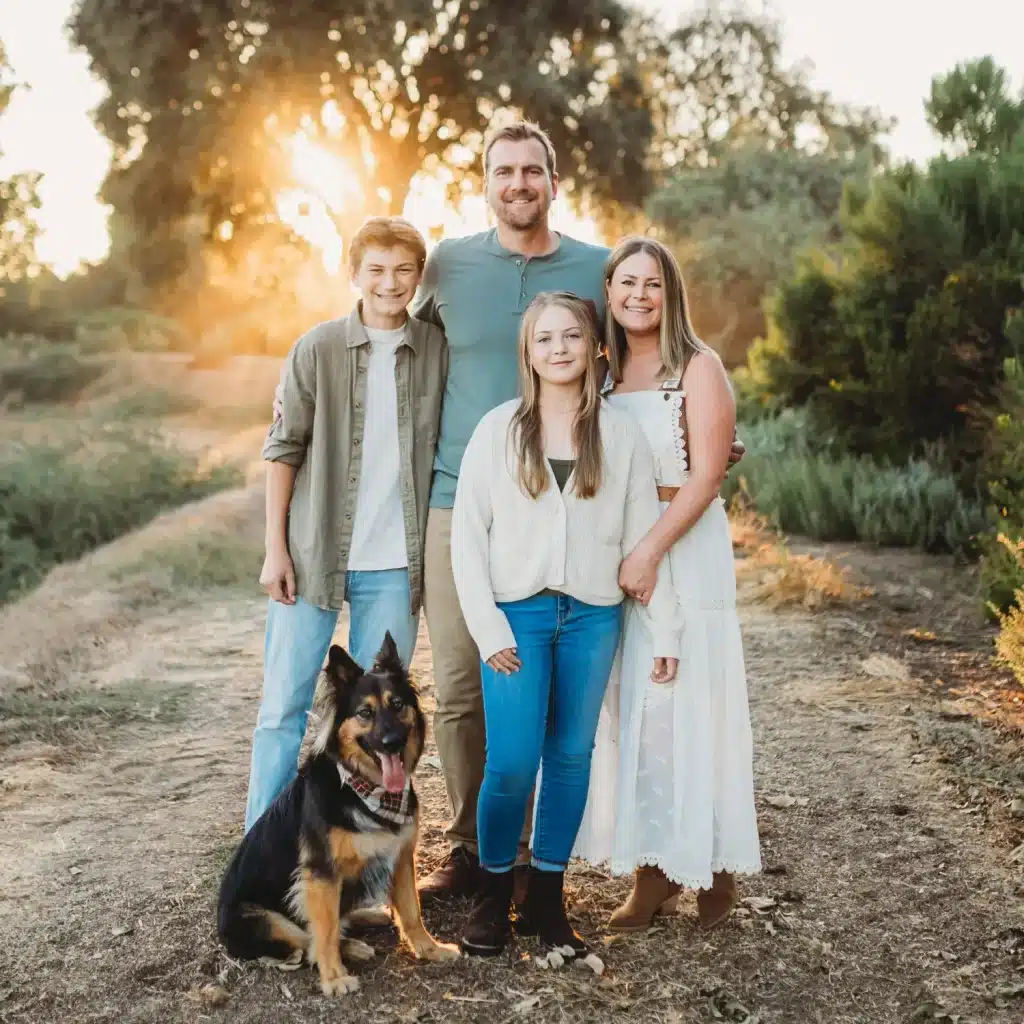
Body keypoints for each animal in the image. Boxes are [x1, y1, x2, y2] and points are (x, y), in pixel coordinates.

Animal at [220, 630, 460, 991]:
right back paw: (350, 948)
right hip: (262, 917)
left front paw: (429, 949)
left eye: (397, 704)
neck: (364, 790)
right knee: (307, 938)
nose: (392, 742)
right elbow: (326, 930)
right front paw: (334, 978)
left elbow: (411, 910)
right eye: (364, 713)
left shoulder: (401, 856)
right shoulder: (320, 872)